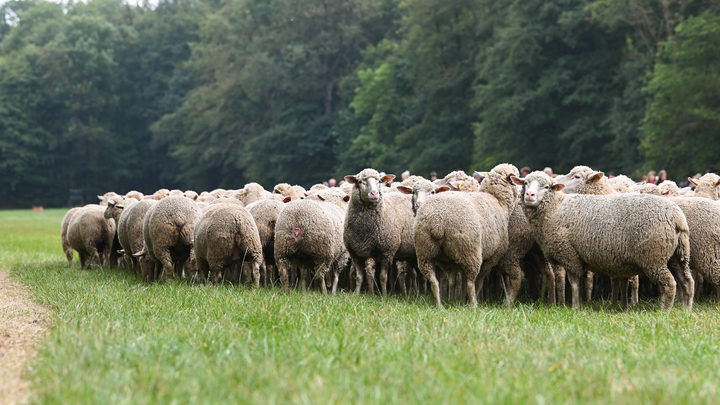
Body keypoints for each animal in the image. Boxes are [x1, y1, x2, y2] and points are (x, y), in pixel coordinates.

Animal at [344, 168, 416, 296]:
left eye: (379, 181)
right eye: (360, 181)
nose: (374, 194)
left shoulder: (387, 252)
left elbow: (383, 277)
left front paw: (384, 296)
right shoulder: (355, 253)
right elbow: (359, 277)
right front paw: (356, 295)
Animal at [414, 163, 520, 308]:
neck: (499, 201)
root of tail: (437, 220)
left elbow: (462, 282)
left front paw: (461, 302)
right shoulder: (492, 256)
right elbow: (477, 281)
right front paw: (468, 301)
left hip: (425, 251)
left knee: (433, 281)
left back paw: (439, 306)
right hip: (469, 251)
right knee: (471, 282)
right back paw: (474, 305)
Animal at [516, 170, 696, 310]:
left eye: (546, 187)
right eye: (525, 183)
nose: (529, 195)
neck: (555, 208)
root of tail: (678, 218)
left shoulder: (570, 255)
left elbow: (574, 283)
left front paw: (575, 307)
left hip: (653, 257)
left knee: (670, 283)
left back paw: (665, 310)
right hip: (678, 255)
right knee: (687, 281)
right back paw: (686, 309)